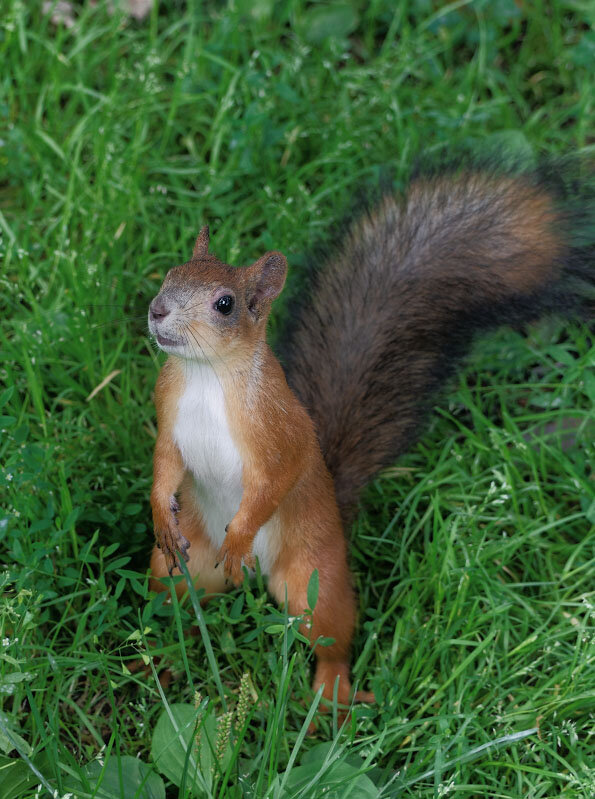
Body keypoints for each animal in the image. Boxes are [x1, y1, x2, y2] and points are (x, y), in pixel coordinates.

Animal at [147, 156, 592, 712]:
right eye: (170, 275)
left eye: (225, 304)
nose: (157, 310)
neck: (206, 376)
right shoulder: (169, 411)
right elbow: (165, 462)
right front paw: (161, 511)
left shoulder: (277, 429)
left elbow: (275, 480)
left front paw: (240, 536)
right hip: (176, 570)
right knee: (178, 608)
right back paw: (162, 661)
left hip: (312, 580)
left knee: (331, 636)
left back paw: (329, 693)